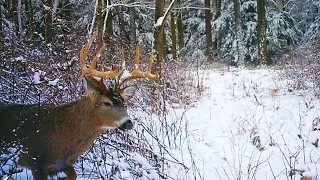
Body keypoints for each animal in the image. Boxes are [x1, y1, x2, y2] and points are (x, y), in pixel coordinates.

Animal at [0, 35, 159, 180]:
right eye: (107, 103)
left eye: (124, 104)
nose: (128, 123)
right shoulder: (36, 162)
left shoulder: (65, 164)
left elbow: (73, 175)